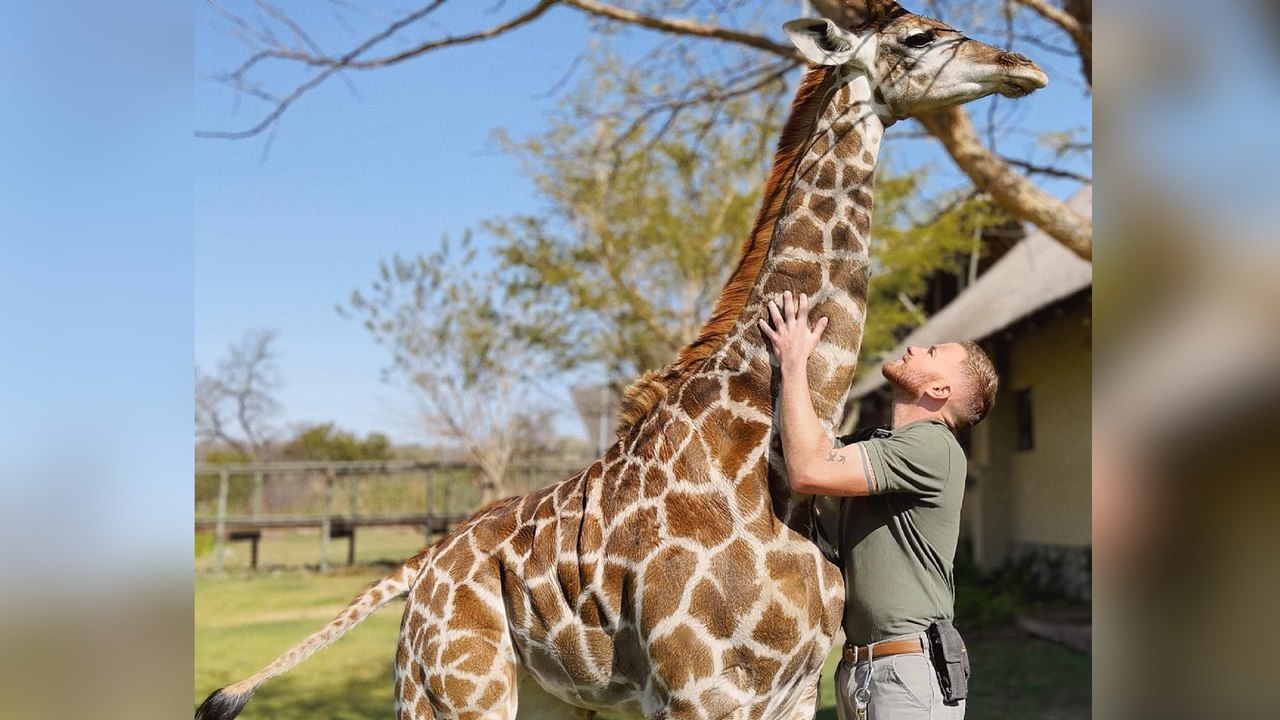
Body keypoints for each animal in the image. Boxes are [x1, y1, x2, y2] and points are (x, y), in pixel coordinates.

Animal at [196, 3, 1046, 719]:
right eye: (920, 36)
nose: (1025, 67)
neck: (756, 460)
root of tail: (423, 563)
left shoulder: (797, 691)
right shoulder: (697, 693)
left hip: (544, 698)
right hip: (451, 693)